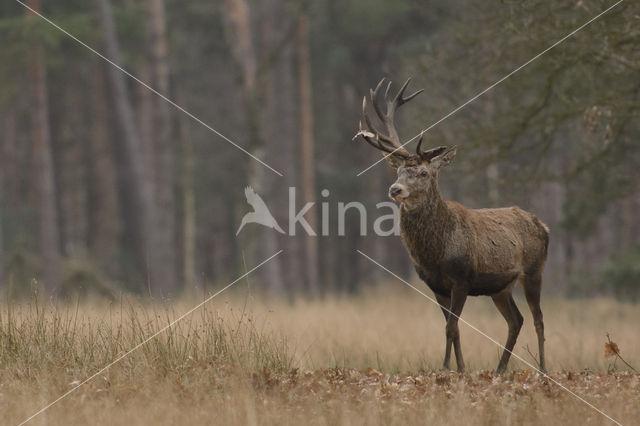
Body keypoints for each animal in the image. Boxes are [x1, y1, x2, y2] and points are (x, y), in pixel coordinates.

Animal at [356, 78, 552, 374]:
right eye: (398, 171)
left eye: (423, 172)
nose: (395, 189)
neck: (436, 253)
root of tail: (544, 226)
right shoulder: (436, 285)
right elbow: (453, 327)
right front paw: (460, 368)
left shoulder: (462, 278)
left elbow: (451, 327)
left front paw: (446, 367)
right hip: (500, 287)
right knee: (516, 320)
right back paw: (500, 368)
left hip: (533, 270)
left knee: (538, 318)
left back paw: (542, 369)